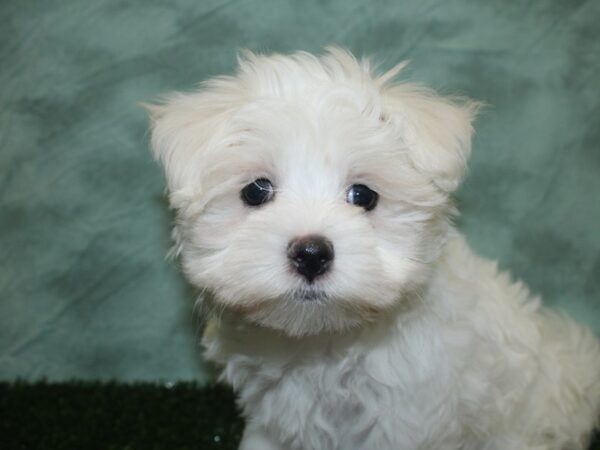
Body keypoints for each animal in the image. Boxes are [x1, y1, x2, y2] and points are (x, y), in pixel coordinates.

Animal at [149, 49, 600, 450]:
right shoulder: (277, 419)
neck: (323, 341)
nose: (311, 254)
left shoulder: (408, 419)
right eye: (256, 191)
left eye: (363, 196)